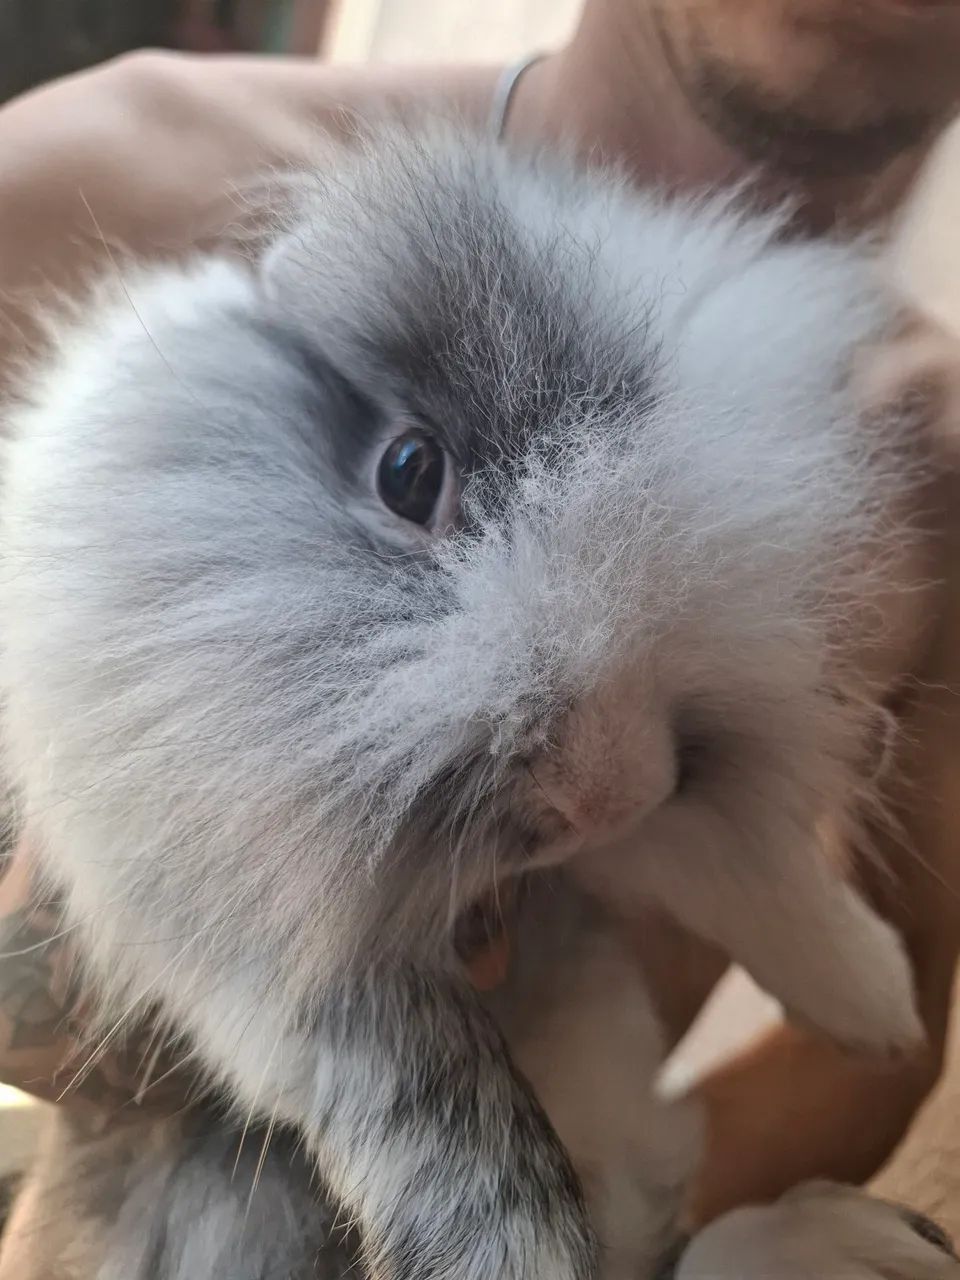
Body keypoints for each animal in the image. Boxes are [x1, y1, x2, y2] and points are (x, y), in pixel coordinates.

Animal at [0, 120, 952, 1279]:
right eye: (410, 471)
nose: (607, 788)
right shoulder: (265, 966)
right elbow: (436, 1101)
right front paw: (511, 1252)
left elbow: (726, 865)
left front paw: (873, 1000)